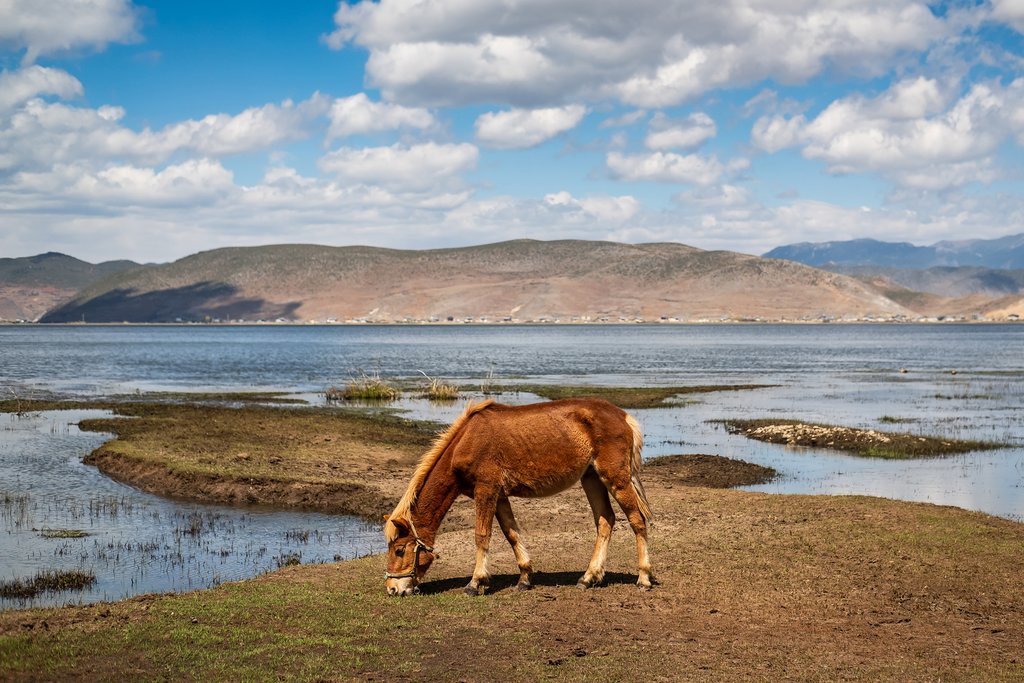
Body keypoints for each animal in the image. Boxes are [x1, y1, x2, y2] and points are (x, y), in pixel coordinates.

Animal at [385, 397, 655, 593]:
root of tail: (624, 416)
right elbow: (511, 534)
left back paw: (643, 578)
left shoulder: (486, 490)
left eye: (399, 550)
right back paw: (589, 578)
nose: (392, 589)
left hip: (615, 479)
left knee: (637, 521)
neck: (467, 440)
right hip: (592, 479)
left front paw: (475, 582)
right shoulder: (499, 496)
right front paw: (524, 578)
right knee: (605, 521)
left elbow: (481, 535)